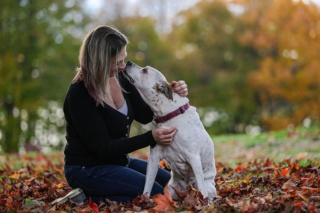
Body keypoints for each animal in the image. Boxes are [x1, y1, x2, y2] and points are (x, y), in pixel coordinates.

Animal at [124, 60, 216, 201]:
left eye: (145, 70)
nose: (128, 62)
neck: (170, 117)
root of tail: (187, 188)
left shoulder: (194, 158)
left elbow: (202, 188)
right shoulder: (154, 157)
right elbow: (147, 185)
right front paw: (144, 202)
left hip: (208, 186)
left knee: (205, 190)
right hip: (171, 188)